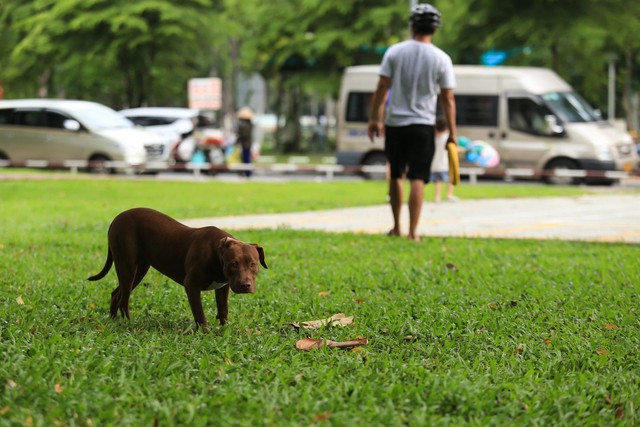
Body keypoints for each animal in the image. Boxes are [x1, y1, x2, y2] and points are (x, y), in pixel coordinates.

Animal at [87, 207, 264, 328]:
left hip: (138, 270)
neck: (216, 253)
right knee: (124, 298)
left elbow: (223, 309)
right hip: (127, 266)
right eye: (233, 264)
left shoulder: (222, 287)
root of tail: (117, 218)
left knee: (116, 294)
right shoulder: (191, 285)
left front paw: (224, 329)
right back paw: (128, 323)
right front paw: (205, 332)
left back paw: (113, 320)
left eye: (253, 264)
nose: (245, 285)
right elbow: (199, 314)